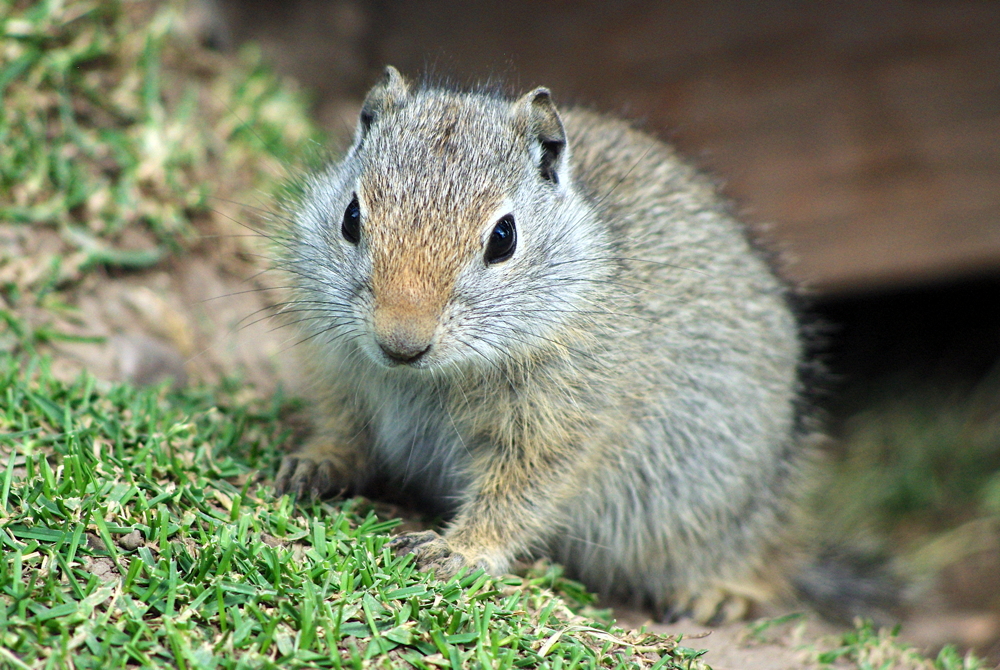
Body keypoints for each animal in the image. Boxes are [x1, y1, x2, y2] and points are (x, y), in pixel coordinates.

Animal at [276, 67, 820, 624]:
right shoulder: (341, 374)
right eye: (351, 217)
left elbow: (516, 496)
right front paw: (312, 465)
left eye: (503, 237)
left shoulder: (560, 429)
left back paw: (720, 595)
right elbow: (345, 432)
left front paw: (457, 550)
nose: (401, 343)